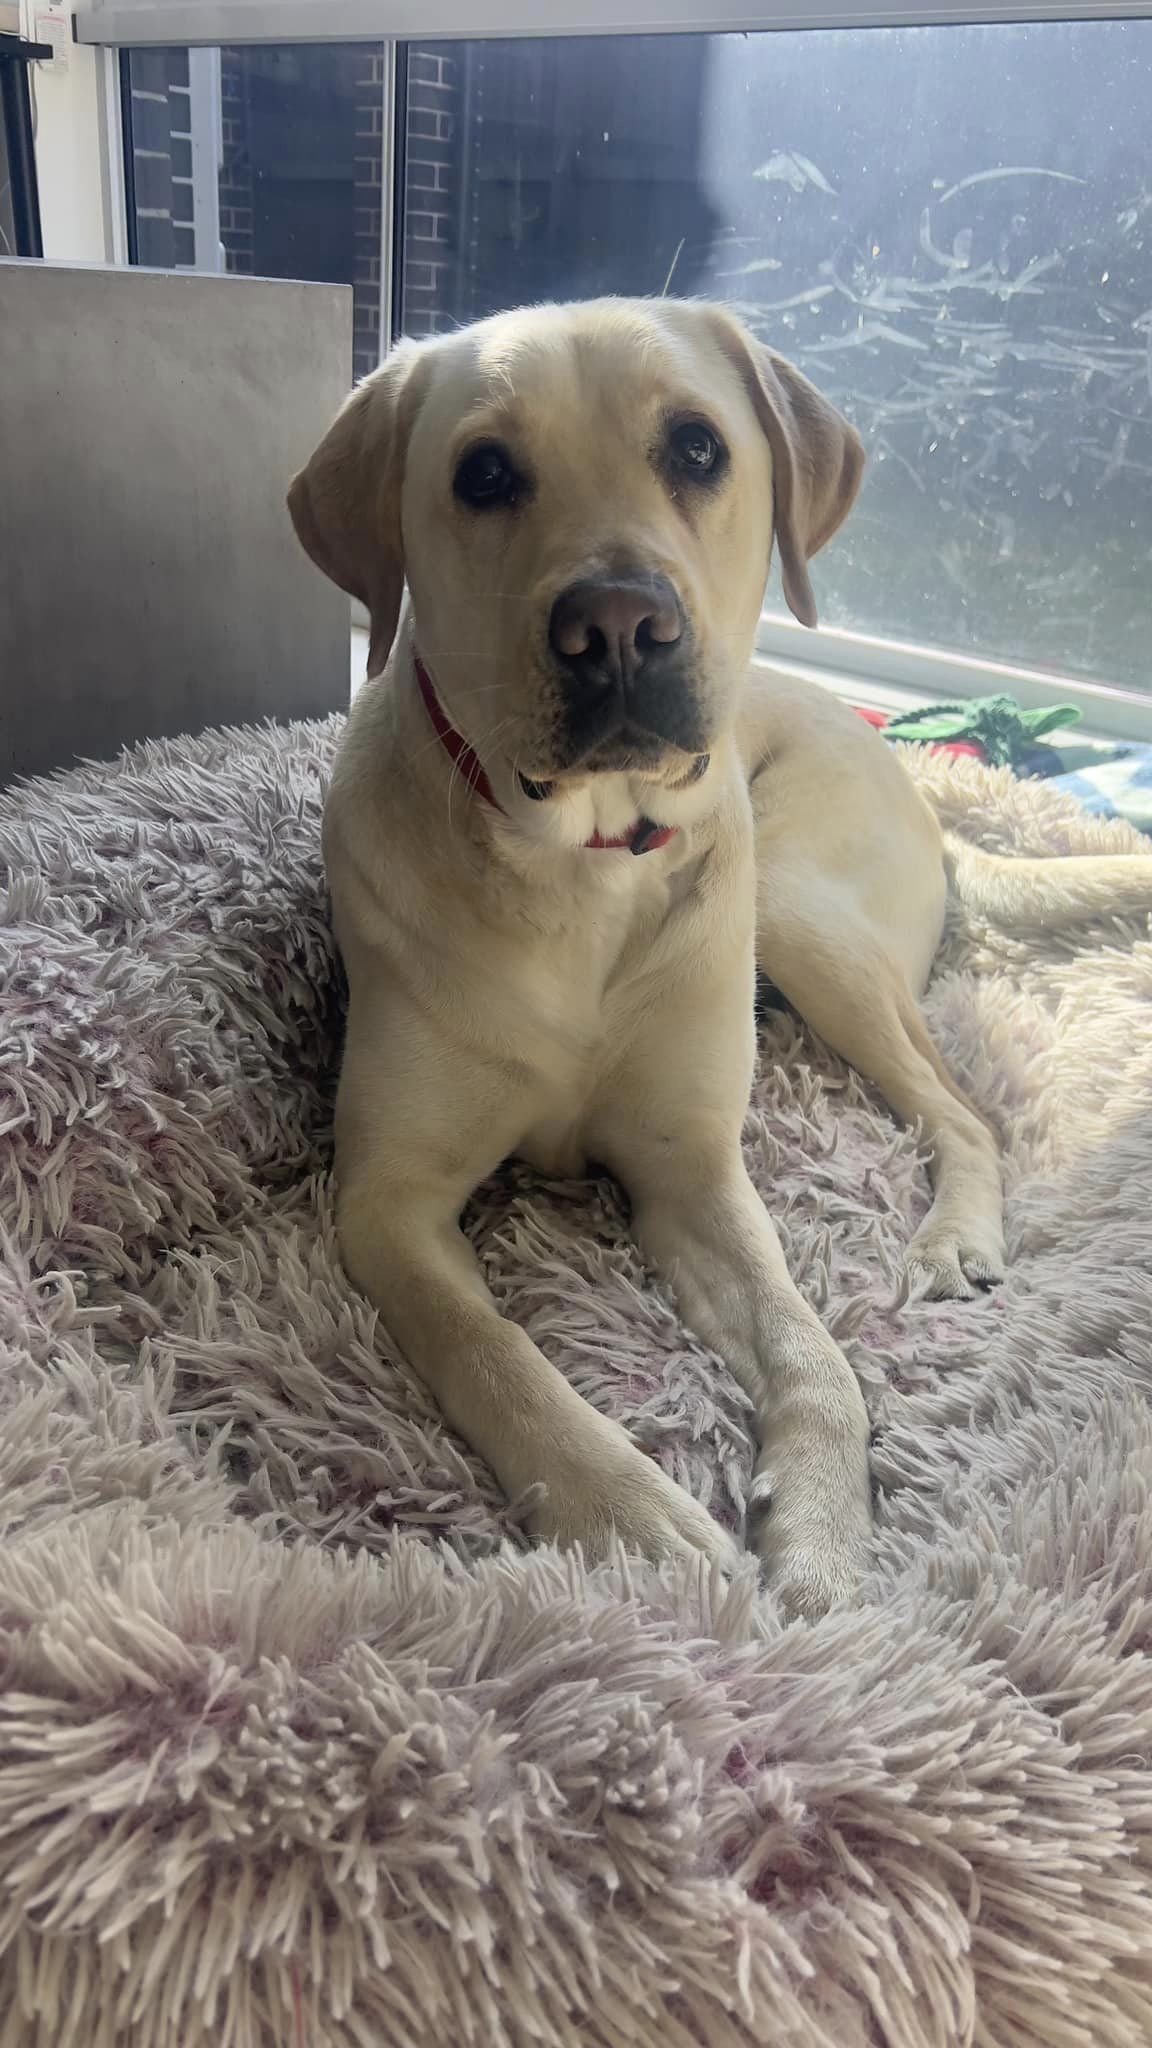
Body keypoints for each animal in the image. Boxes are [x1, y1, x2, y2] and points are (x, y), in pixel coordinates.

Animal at [291, 299, 1147, 1613]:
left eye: (696, 448)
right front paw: (636, 1519)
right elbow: (498, 1350)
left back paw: (955, 1235)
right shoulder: (389, 1202)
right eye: (482, 473)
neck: (584, 867)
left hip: (794, 906)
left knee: (960, 1107)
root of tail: (925, 787)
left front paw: (828, 1526)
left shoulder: (691, 1164)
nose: (619, 624)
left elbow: (808, 1340)